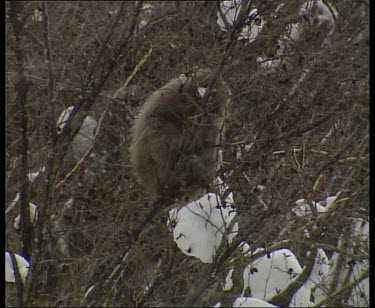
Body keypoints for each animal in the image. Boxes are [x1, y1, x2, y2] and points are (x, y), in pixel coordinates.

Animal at [131, 68, 232, 201]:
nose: (208, 109)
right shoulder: (173, 95)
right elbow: (161, 113)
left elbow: (209, 135)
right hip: (151, 165)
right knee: (158, 127)